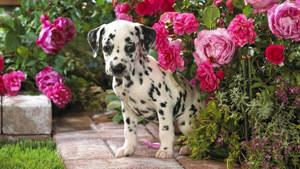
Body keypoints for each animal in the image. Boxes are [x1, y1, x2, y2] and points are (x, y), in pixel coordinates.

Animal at [86, 19, 204, 158]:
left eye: (130, 47)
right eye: (106, 47)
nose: (117, 67)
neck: (132, 81)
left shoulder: (163, 106)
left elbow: (165, 130)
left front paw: (165, 150)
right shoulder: (127, 109)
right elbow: (129, 131)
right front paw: (128, 149)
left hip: (186, 122)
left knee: (196, 137)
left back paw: (188, 148)